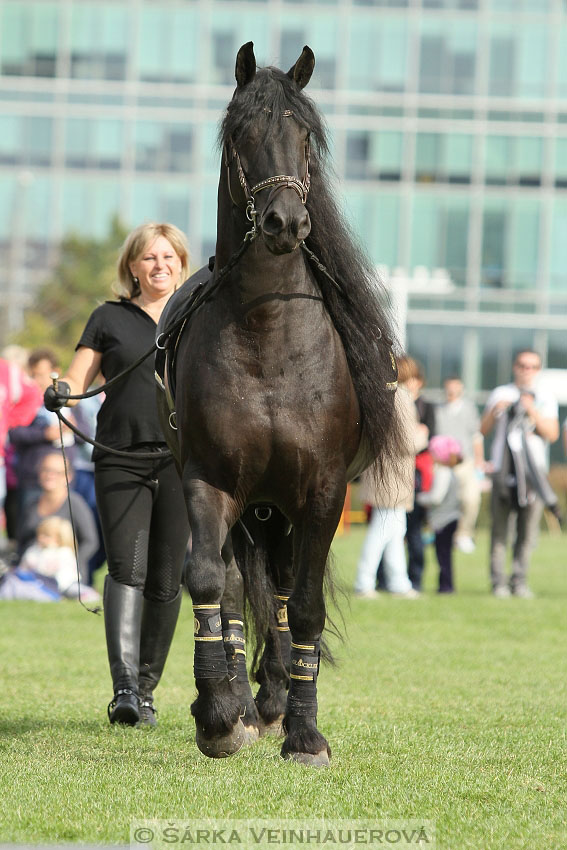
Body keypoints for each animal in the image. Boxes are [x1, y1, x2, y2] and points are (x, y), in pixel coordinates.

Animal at [158, 43, 402, 764]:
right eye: (241, 133)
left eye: (305, 136)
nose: (286, 222)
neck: (267, 333)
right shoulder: (209, 481)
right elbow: (212, 583)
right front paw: (217, 714)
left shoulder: (322, 492)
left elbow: (307, 606)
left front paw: (305, 732)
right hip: (250, 505)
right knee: (242, 588)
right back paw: (242, 701)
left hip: (283, 508)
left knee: (288, 592)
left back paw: (272, 702)